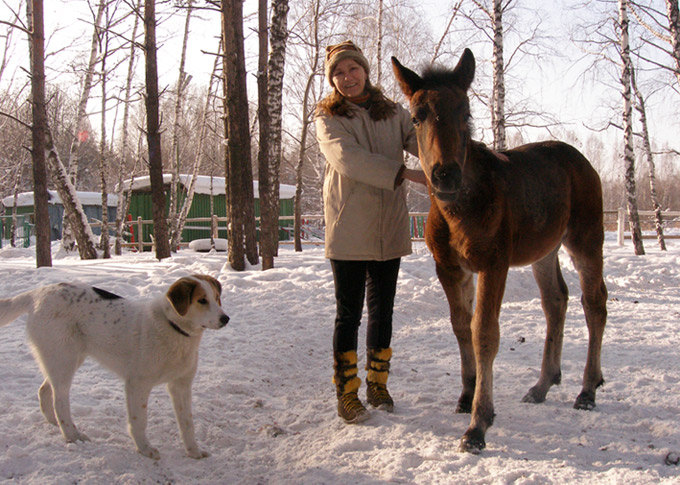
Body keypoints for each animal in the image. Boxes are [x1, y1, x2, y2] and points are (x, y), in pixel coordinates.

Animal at [0, 274, 230, 460]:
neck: (174, 329)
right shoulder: (137, 384)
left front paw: (193, 452)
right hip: (64, 362)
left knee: (44, 390)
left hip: (63, 361)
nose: (225, 319)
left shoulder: (181, 385)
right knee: (60, 401)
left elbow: (187, 424)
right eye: (202, 300)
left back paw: (54, 423)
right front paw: (144, 449)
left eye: (217, 298)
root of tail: (38, 292)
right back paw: (72, 435)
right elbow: (139, 421)